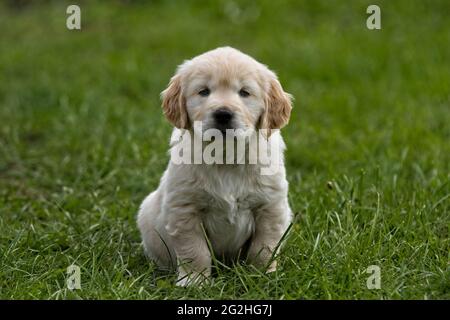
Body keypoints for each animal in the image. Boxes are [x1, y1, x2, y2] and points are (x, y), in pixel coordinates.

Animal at [136, 47, 292, 284]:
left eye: (244, 92)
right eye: (204, 92)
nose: (223, 114)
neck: (225, 154)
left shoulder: (270, 207)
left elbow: (264, 248)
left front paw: (261, 277)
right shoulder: (185, 209)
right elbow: (194, 251)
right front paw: (194, 282)